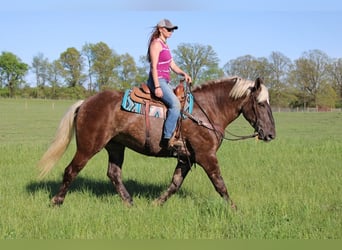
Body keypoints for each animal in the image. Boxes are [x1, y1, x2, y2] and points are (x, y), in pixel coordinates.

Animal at [36, 76, 276, 209]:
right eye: (261, 103)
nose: (271, 134)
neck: (207, 110)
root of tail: (85, 102)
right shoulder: (206, 155)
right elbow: (220, 184)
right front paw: (235, 210)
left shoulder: (186, 158)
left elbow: (175, 184)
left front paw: (156, 204)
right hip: (88, 146)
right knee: (71, 170)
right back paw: (56, 202)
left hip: (116, 146)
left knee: (114, 174)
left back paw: (131, 204)